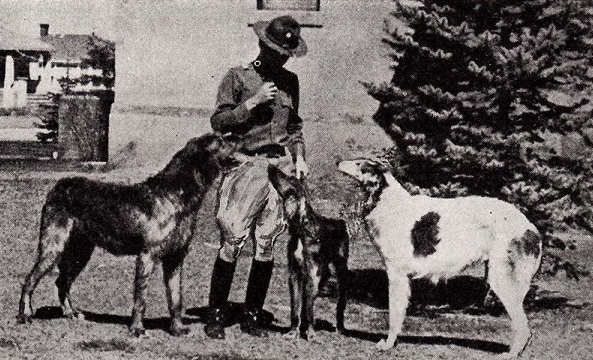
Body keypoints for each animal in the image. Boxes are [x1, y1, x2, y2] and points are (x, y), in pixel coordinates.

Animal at [18, 134, 240, 336]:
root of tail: (58, 186)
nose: (238, 138)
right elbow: (141, 297)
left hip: (81, 250)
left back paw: (71, 313)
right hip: (54, 245)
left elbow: (176, 297)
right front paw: (137, 328)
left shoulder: (175, 257)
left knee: (62, 282)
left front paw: (177, 328)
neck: (174, 194)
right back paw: (24, 314)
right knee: (30, 279)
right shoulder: (147, 255)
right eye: (220, 142)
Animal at [268, 165, 350, 340]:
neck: (302, 230)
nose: (270, 166)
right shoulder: (294, 273)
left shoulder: (312, 272)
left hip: (340, 270)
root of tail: (340, 222)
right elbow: (296, 306)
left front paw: (311, 334)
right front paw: (293, 331)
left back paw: (340, 327)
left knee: (339, 302)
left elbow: (309, 307)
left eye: (290, 178)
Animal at [338, 159, 540, 358]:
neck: (388, 201)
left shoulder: (396, 275)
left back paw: (510, 354)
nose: (338, 162)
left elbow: (395, 315)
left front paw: (388, 344)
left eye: (358, 164)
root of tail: (531, 229)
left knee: (523, 328)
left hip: (502, 282)